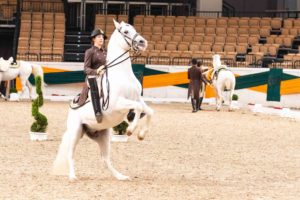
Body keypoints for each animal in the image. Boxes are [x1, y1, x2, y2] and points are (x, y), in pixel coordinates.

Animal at [52, 19, 154, 180]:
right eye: (126, 31)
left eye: (133, 28)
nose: (143, 42)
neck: (123, 75)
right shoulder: (118, 104)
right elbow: (137, 108)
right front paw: (130, 130)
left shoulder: (138, 99)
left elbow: (149, 111)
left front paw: (141, 134)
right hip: (75, 132)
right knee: (71, 154)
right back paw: (73, 176)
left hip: (103, 136)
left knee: (105, 159)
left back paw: (120, 176)